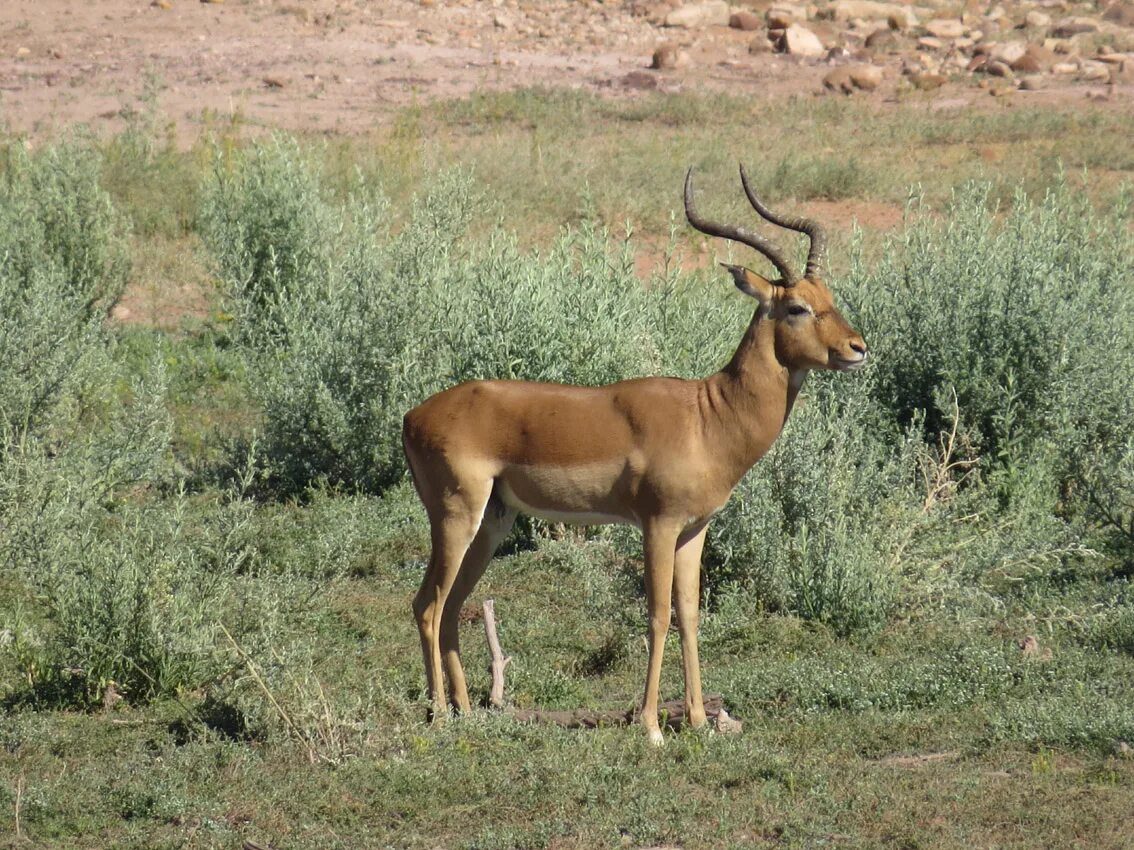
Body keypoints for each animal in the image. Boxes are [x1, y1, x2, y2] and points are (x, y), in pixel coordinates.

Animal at [401, 166, 866, 743]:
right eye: (796, 306)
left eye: (828, 294)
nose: (858, 348)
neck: (707, 416)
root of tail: (412, 415)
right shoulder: (658, 524)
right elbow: (658, 614)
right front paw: (651, 727)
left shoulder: (694, 530)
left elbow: (690, 613)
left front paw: (698, 720)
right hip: (455, 517)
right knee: (427, 605)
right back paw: (440, 715)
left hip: (492, 522)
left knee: (452, 607)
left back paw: (466, 710)